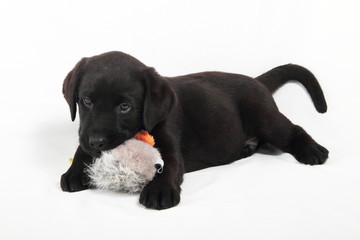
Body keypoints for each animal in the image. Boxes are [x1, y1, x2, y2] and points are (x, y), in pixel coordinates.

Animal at [60, 51, 328, 209]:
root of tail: (257, 80)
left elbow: (166, 166)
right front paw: (75, 172)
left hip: (265, 118)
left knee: (293, 130)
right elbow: (80, 149)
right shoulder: (85, 133)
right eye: (86, 101)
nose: (97, 141)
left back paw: (313, 150)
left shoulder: (170, 143)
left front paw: (159, 191)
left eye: (125, 107)